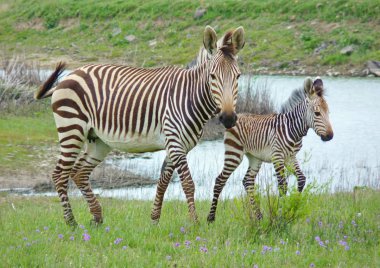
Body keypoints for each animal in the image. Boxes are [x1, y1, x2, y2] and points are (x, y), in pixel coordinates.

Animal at [34, 25, 245, 226]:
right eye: (212, 76)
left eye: (238, 77)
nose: (228, 118)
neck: (190, 97)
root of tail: (68, 76)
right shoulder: (175, 142)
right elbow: (187, 183)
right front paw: (194, 223)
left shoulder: (177, 145)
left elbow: (163, 181)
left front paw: (154, 220)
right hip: (72, 129)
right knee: (59, 174)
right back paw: (71, 222)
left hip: (98, 140)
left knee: (79, 172)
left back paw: (97, 217)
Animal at [206, 76, 334, 222]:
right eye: (317, 113)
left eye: (328, 112)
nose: (330, 136)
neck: (293, 129)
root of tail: (236, 116)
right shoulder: (277, 156)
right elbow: (283, 185)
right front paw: (281, 214)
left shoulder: (290, 157)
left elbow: (301, 179)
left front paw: (293, 208)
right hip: (234, 153)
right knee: (220, 180)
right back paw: (211, 218)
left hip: (255, 157)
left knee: (248, 181)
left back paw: (259, 216)